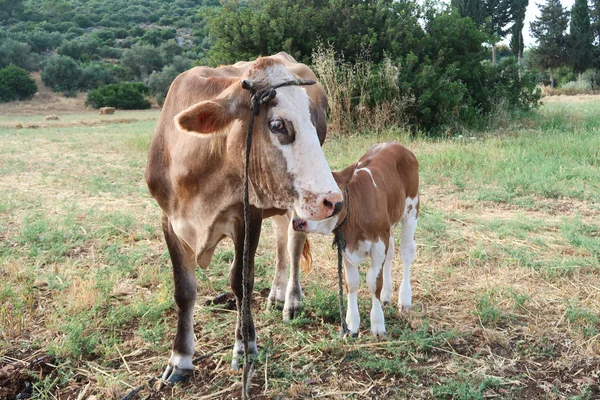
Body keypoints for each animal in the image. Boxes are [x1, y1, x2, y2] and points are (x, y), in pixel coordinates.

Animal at [145, 52, 342, 382]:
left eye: (312, 120)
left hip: (297, 202)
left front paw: (245, 345)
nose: (335, 201)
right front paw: (180, 358)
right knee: (280, 240)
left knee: (293, 243)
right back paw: (276, 294)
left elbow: (241, 281)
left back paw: (291, 301)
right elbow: (184, 290)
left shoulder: (247, 215)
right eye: (277, 124)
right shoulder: (169, 220)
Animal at [292, 142, 420, 336]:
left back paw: (404, 299)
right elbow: (351, 283)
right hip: (389, 225)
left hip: (411, 210)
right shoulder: (345, 245)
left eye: (328, 199)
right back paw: (387, 295)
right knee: (391, 253)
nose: (297, 221)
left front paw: (377, 324)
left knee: (406, 253)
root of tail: (395, 143)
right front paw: (351, 324)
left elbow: (374, 282)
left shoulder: (378, 243)